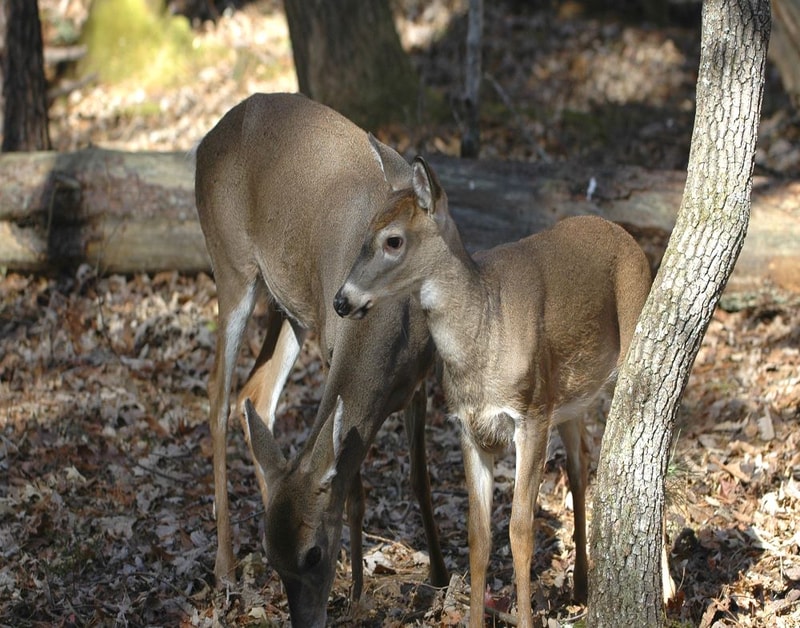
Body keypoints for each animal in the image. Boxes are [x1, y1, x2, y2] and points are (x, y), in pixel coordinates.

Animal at [193, 92, 448, 627]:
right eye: (277, 558)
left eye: (310, 555)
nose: (306, 620)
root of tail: (205, 142)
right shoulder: (334, 350)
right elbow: (353, 488)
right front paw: (358, 592)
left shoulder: (421, 376)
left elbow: (419, 478)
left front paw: (438, 576)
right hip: (231, 263)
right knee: (217, 393)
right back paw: (225, 569)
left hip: (288, 303)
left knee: (254, 394)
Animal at [333, 153, 656, 627]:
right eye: (363, 234)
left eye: (393, 240)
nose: (342, 300)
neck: (483, 337)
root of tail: (622, 232)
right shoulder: (469, 428)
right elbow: (478, 535)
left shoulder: (532, 415)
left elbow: (520, 529)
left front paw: (524, 618)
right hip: (570, 402)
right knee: (581, 467)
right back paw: (581, 584)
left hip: (629, 343)